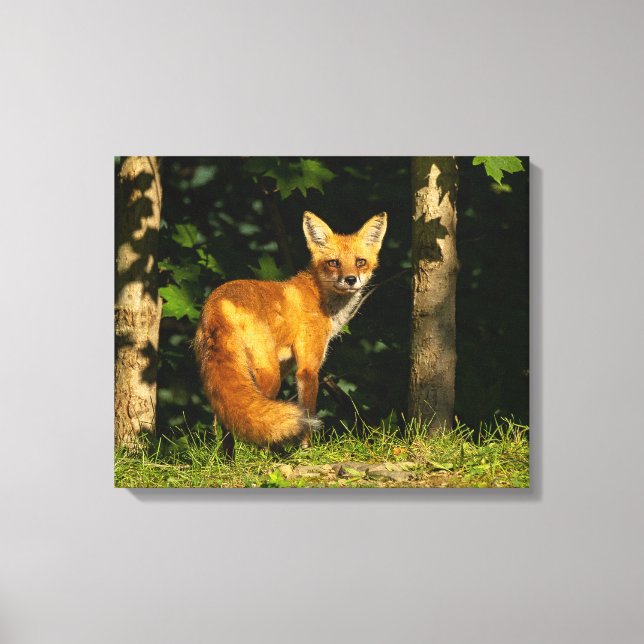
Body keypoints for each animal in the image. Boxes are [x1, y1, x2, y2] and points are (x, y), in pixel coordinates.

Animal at [194, 210, 387, 458]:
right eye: (333, 263)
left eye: (360, 262)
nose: (350, 279)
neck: (320, 298)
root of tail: (218, 302)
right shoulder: (308, 369)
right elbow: (308, 411)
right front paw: (306, 450)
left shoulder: (288, 364)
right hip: (268, 373)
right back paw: (267, 455)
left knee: (229, 418)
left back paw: (230, 459)